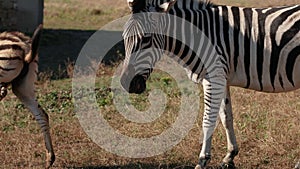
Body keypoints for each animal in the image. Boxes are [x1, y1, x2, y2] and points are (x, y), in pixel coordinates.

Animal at [120, 0, 300, 168]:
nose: (125, 83)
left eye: (146, 38)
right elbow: (226, 117)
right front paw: (229, 156)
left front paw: (202, 161)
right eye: (123, 37)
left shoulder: (213, 78)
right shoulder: (222, 78)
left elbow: (208, 121)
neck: (198, 35)